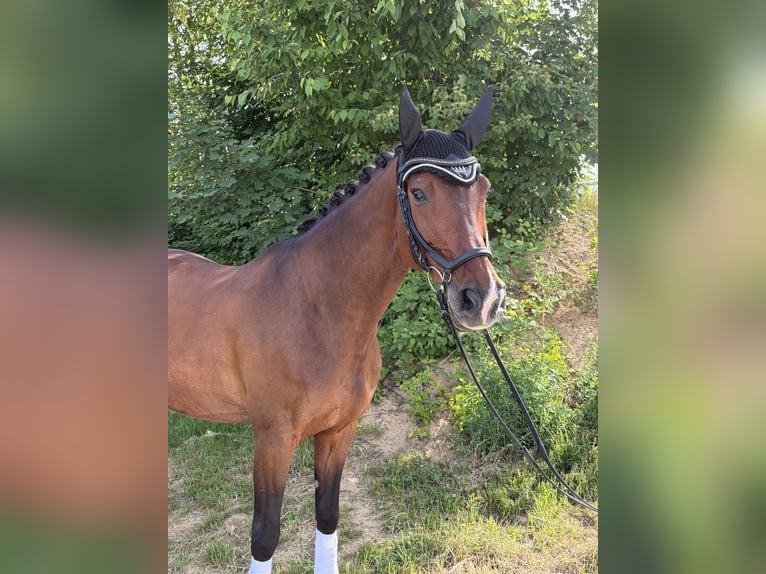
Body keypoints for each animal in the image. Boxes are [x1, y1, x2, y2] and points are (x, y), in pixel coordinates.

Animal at [168, 85, 506, 573]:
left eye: (484, 190)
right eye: (418, 192)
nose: (483, 299)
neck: (320, 313)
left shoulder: (339, 431)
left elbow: (327, 517)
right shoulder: (272, 440)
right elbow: (265, 536)